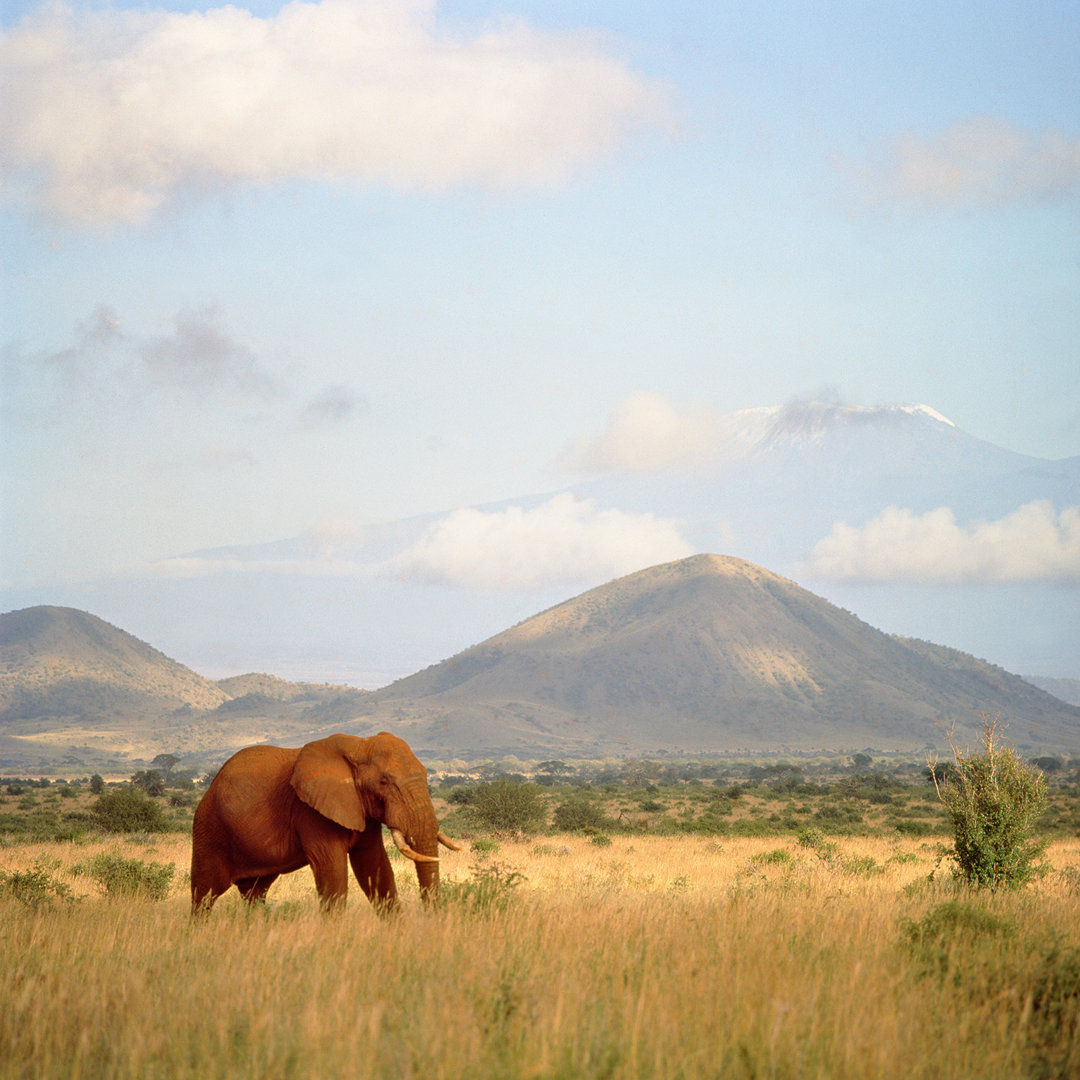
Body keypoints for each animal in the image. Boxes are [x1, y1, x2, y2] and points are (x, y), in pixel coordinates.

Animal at [191, 730, 460, 915]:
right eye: (384, 782)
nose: (431, 921)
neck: (360, 744)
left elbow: (375, 867)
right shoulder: (311, 812)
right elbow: (332, 870)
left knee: (254, 894)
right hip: (209, 827)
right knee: (203, 894)